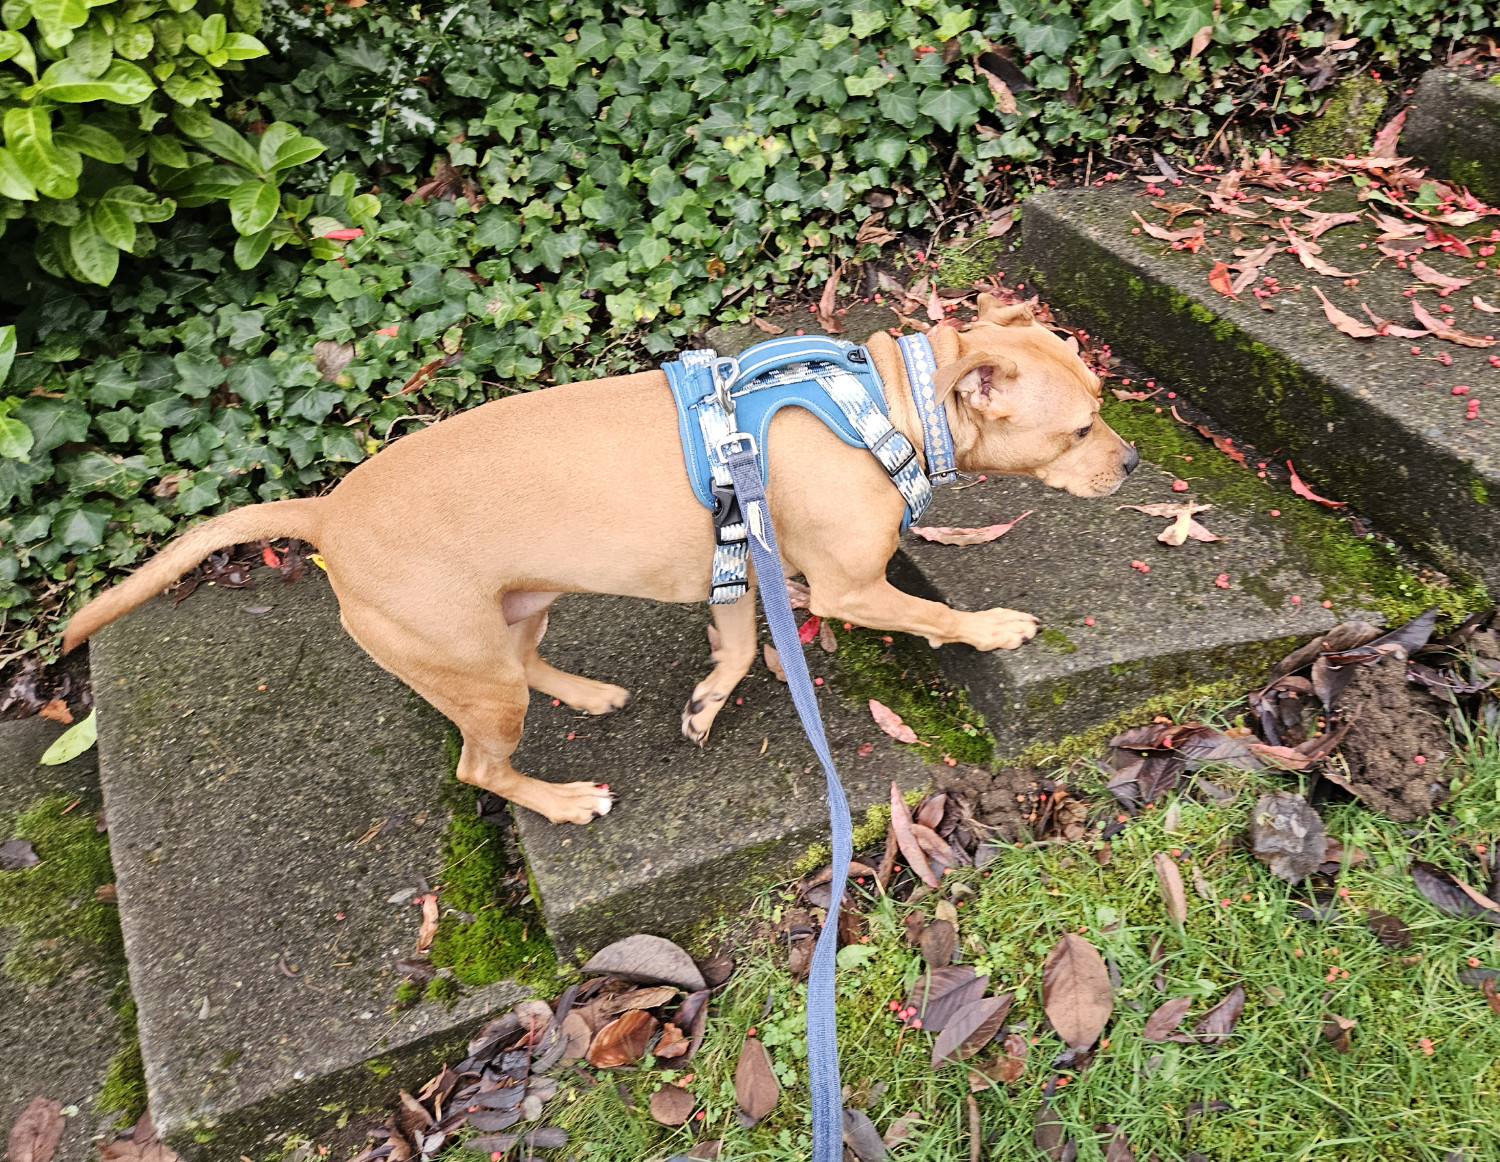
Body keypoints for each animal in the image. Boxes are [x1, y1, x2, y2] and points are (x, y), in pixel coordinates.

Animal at [58, 299, 1134, 827]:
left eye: (1102, 404)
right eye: (1082, 427)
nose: (1130, 461)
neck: (886, 404)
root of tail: (323, 509)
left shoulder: (738, 561)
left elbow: (736, 645)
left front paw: (716, 695)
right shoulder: (851, 587)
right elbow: (935, 615)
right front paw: (995, 626)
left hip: (517, 612)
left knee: (527, 663)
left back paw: (585, 694)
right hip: (472, 673)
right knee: (478, 764)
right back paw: (563, 800)